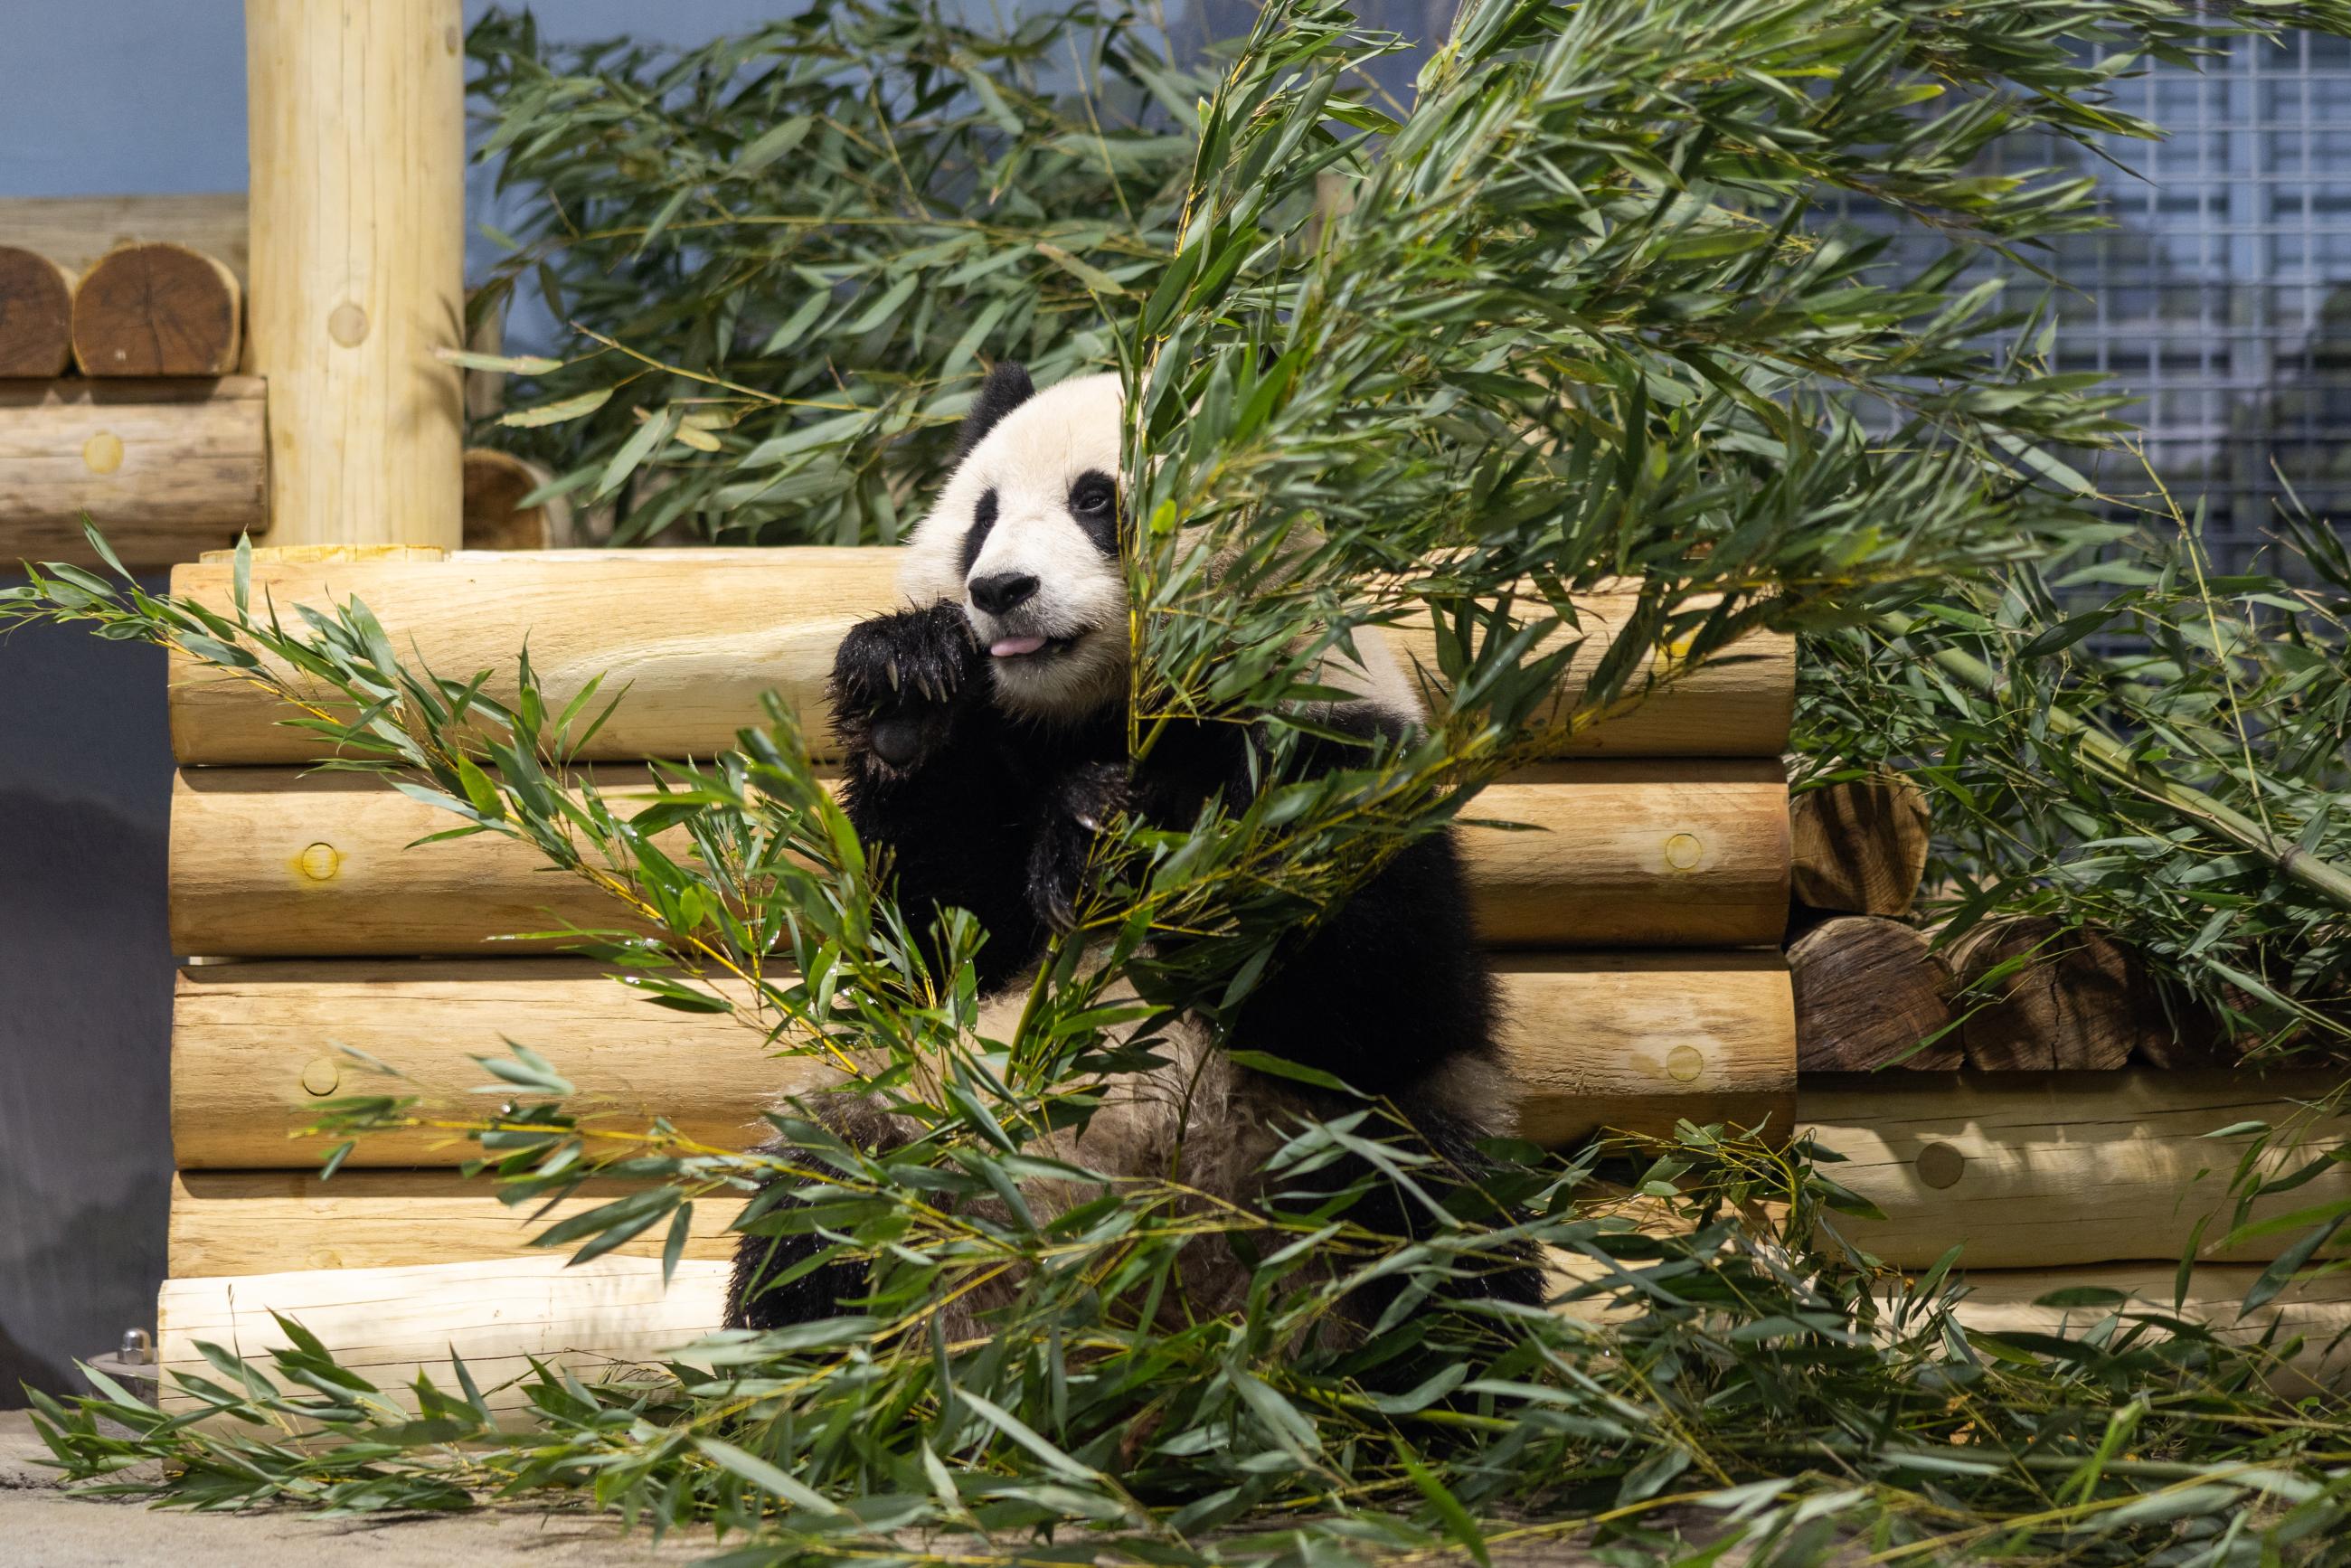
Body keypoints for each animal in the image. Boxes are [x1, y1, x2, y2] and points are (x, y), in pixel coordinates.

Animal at [733, 364, 1542, 1335]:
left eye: (1095, 500)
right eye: (980, 517)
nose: (999, 589)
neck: (1105, 707)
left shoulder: (1350, 751)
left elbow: (1382, 990)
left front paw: (1106, 827)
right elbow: (921, 949)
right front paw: (906, 684)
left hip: (1352, 1161)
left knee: (1441, 1257)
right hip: (918, 1130)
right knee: (819, 1213)